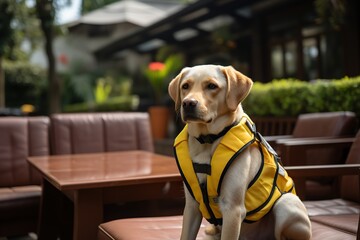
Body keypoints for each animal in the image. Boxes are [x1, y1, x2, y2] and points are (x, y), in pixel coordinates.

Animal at [167, 64, 310, 239]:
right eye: (185, 86)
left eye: (212, 86)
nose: (188, 103)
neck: (207, 140)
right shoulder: (192, 206)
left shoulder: (232, 209)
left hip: (287, 204)